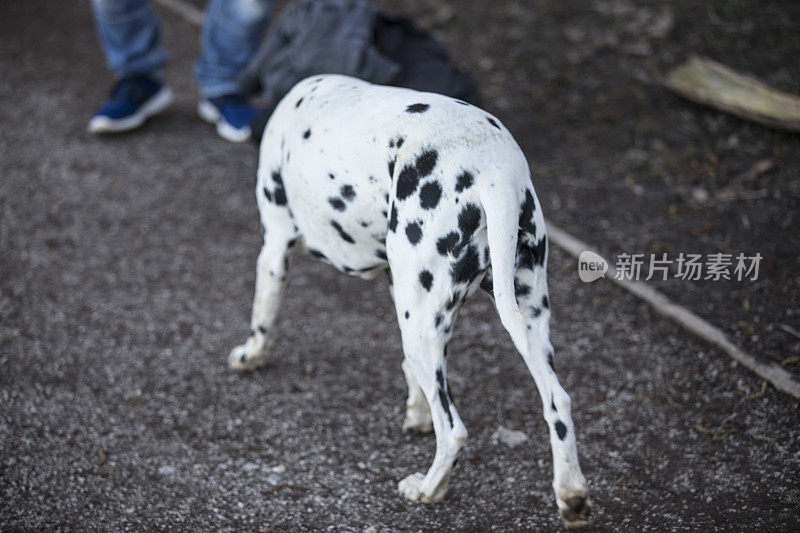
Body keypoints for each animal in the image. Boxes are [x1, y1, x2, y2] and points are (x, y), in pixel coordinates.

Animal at [228, 75, 592, 528]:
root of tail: (493, 171)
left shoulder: (275, 247)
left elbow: (262, 317)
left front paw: (250, 356)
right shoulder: (397, 284)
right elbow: (412, 376)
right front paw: (416, 414)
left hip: (420, 327)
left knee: (453, 430)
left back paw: (428, 490)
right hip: (516, 318)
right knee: (558, 402)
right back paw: (571, 496)